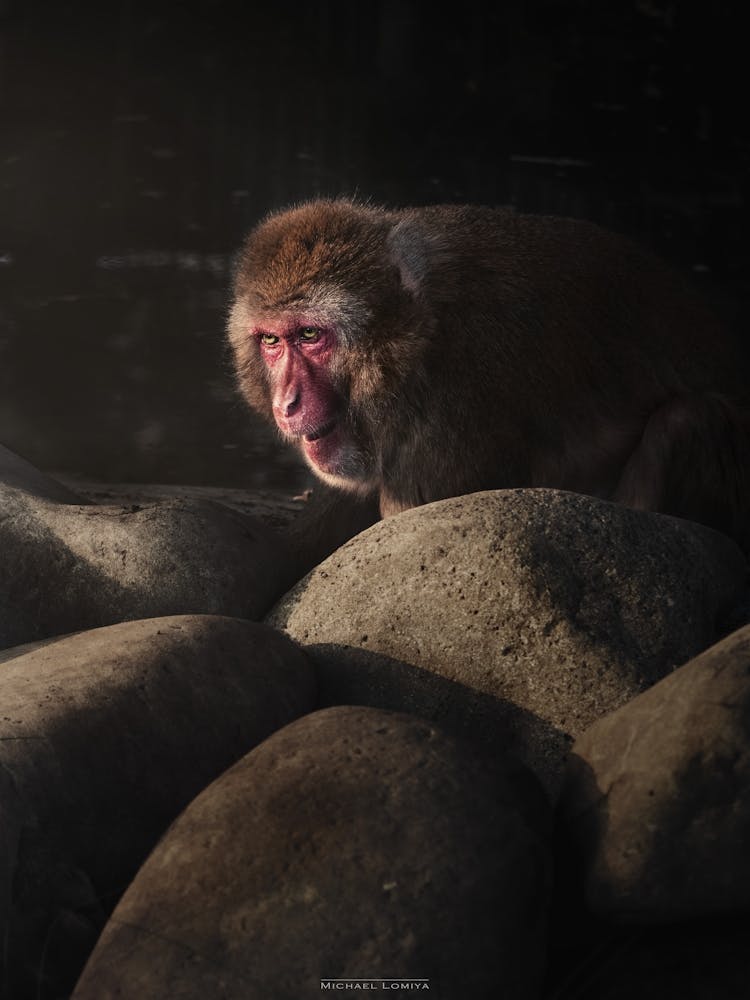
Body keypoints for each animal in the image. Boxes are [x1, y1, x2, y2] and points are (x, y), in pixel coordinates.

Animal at [227, 198, 750, 563]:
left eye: (310, 334)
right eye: (272, 341)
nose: (287, 403)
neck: (423, 333)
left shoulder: (457, 410)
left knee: (687, 420)